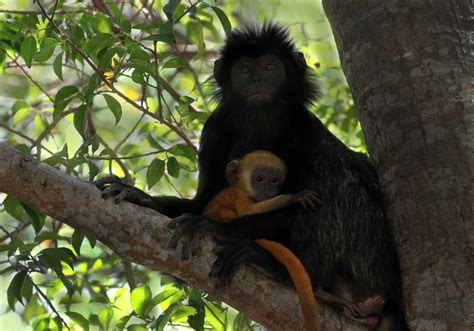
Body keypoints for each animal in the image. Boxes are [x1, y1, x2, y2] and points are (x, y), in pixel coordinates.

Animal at [204, 151, 322, 331]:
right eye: (259, 179)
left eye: (273, 180)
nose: (267, 188)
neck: (242, 187)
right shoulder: (240, 195)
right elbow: (250, 211)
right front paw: (291, 198)